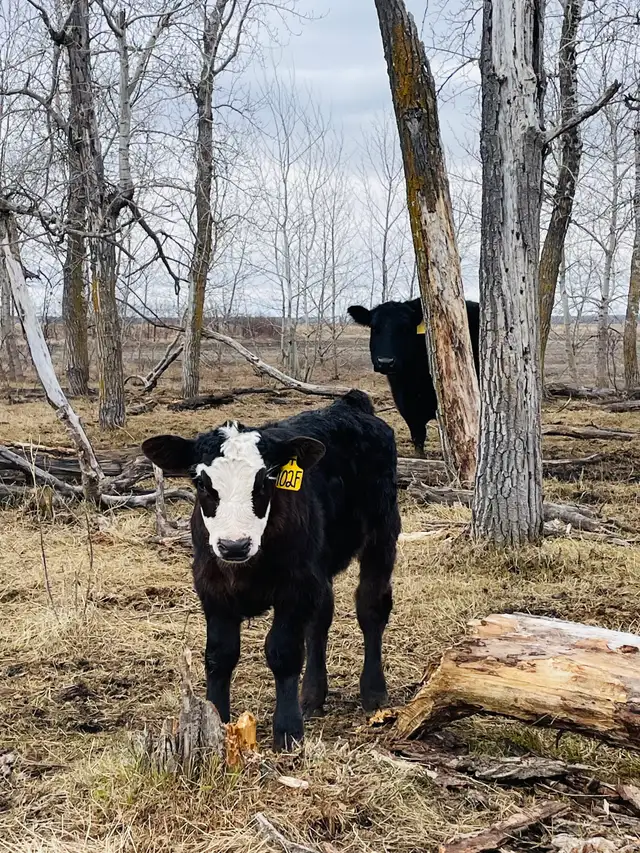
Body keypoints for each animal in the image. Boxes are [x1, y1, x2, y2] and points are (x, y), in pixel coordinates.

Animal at [142, 390, 400, 751]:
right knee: (321, 619)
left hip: (382, 532)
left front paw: (288, 731)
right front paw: (217, 722)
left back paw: (374, 692)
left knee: (371, 606)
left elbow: (283, 652)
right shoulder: (212, 587)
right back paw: (312, 696)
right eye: (202, 483)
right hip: (320, 562)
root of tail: (350, 404)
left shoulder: (295, 587)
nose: (234, 545)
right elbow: (219, 655)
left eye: (265, 480)